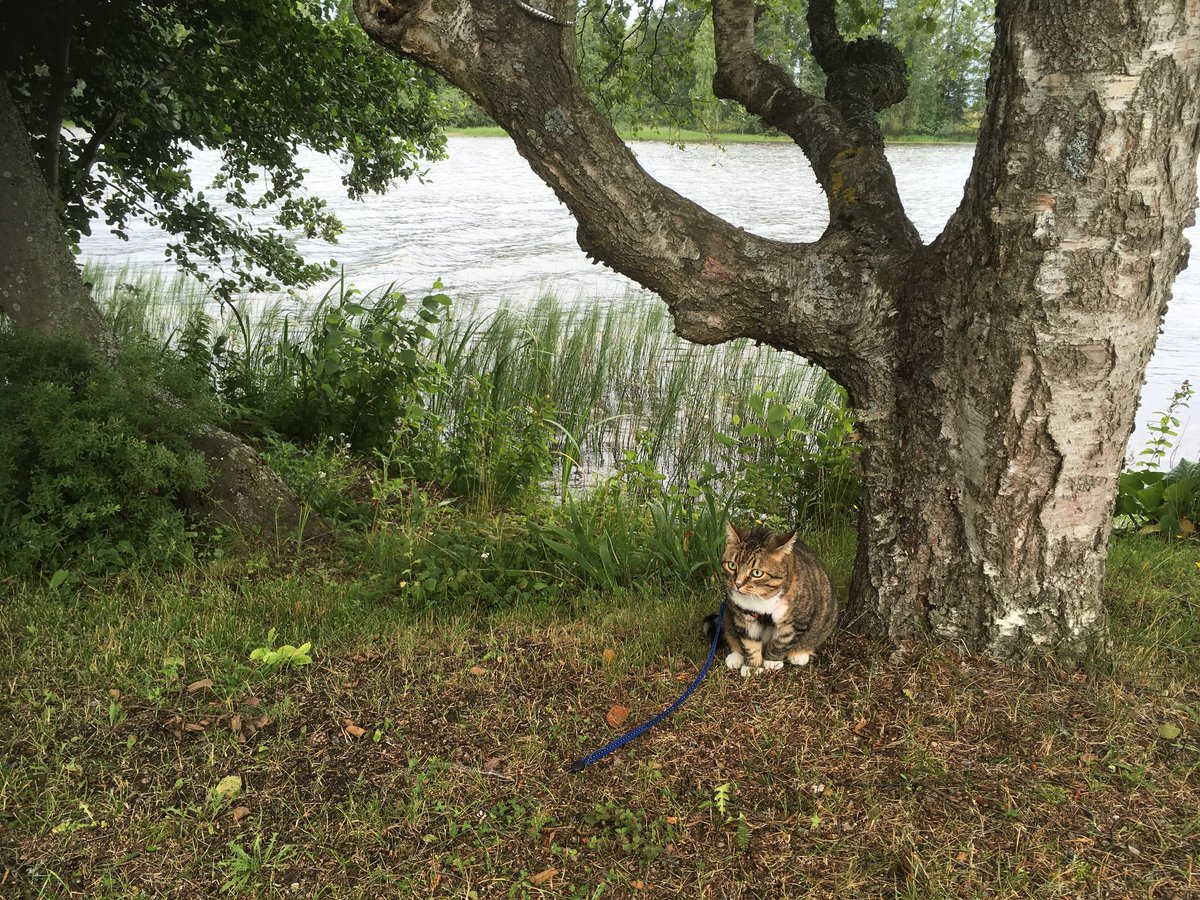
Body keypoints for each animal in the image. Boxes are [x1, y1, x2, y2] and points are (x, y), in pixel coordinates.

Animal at [705, 520, 840, 676]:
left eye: (757, 573)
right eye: (732, 565)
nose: (737, 584)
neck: (761, 600)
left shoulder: (795, 622)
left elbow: (782, 641)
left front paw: (772, 662)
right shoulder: (744, 618)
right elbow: (749, 643)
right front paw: (752, 667)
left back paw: (799, 654)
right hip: (728, 615)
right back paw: (736, 656)